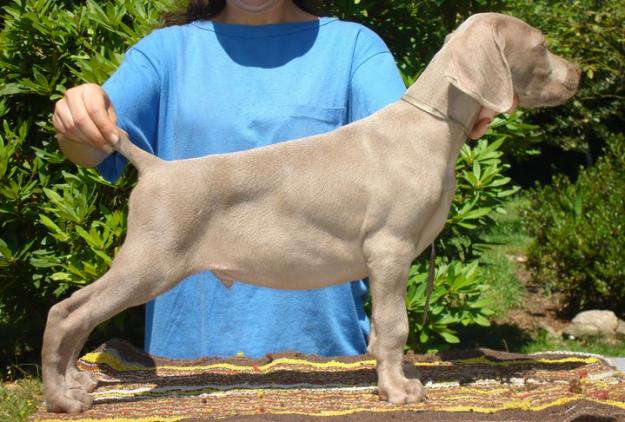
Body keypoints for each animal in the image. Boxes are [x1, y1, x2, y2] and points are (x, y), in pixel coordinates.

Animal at [44, 12, 580, 412]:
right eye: (543, 46)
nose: (580, 74)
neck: (431, 129)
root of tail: (156, 168)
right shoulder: (390, 250)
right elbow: (397, 326)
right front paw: (398, 391)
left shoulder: (385, 262)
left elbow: (382, 329)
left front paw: (393, 375)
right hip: (151, 260)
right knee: (67, 312)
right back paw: (62, 397)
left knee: (77, 314)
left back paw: (76, 383)